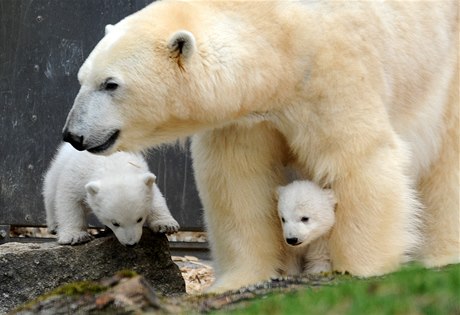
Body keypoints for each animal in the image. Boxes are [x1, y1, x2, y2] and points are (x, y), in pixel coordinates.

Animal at [42, 144, 180, 247]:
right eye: (115, 223)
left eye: (139, 219)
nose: (131, 244)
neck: (112, 163)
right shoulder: (77, 175)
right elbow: (69, 199)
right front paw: (75, 236)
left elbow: (155, 196)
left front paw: (166, 225)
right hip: (56, 170)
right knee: (50, 194)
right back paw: (54, 226)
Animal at [62, 0, 460, 292]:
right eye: (81, 78)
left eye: (111, 84)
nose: (72, 134)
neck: (278, 35)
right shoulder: (242, 118)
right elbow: (237, 180)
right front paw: (238, 281)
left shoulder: (332, 72)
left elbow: (358, 160)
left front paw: (361, 271)